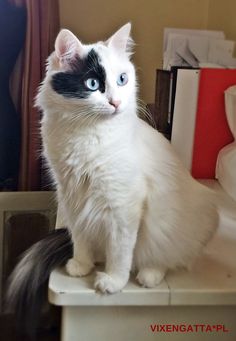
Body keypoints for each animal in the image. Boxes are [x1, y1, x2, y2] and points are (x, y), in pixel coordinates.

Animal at [6, 21, 219, 330]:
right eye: (93, 84)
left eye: (122, 79)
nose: (116, 102)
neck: (86, 134)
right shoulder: (71, 195)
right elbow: (80, 237)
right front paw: (82, 266)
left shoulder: (123, 206)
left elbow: (120, 250)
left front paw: (114, 282)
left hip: (198, 217)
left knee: (170, 254)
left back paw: (149, 273)